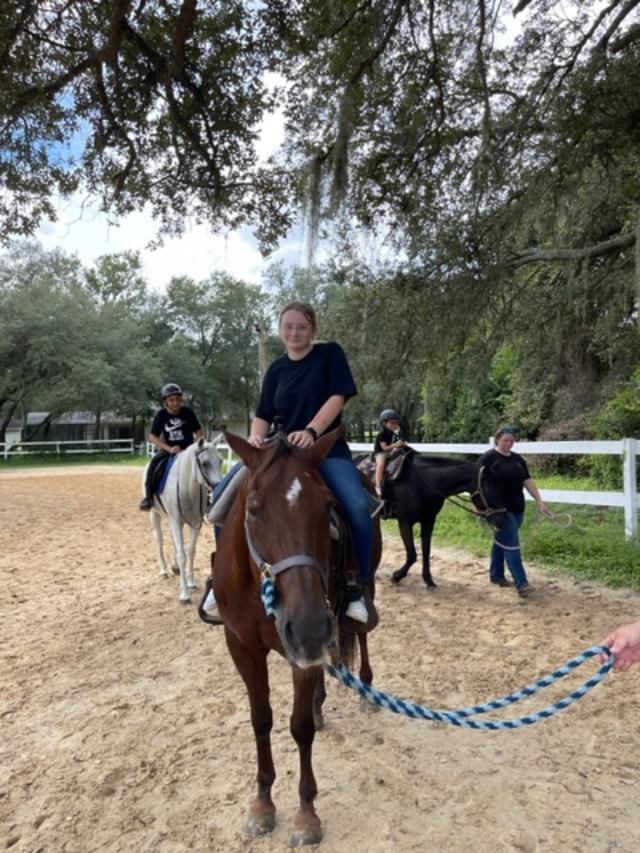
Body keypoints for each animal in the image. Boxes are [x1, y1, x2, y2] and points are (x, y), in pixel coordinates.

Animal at [144, 440, 224, 604]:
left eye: (220, 461)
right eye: (205, 463)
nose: (219, 486)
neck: (188, 488)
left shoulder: (195, 524)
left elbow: (191, 552)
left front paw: (190, 582)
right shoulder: (175, 521)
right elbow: (182, 555)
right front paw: (185, 594)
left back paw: (175, 568)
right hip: (155, 514)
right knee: (160, 539)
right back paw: (164, 570)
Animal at [211, 426, 380, 844]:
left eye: (327, 507)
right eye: (253, 509)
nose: (308, 627)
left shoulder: (302, 650)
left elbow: (299, 728)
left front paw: (306, 815)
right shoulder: (242, 646)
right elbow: (261, 719)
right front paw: (262, 804)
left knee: (362, 635)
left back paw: (366, 689)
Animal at [370, 450, 504, 588]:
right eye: (489, 488)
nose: (503, 520)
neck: (421, 483)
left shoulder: (429, 521)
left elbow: (426, 551)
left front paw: (429, 580)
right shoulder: (404, 522)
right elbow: (412, 554)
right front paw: (396, 576)